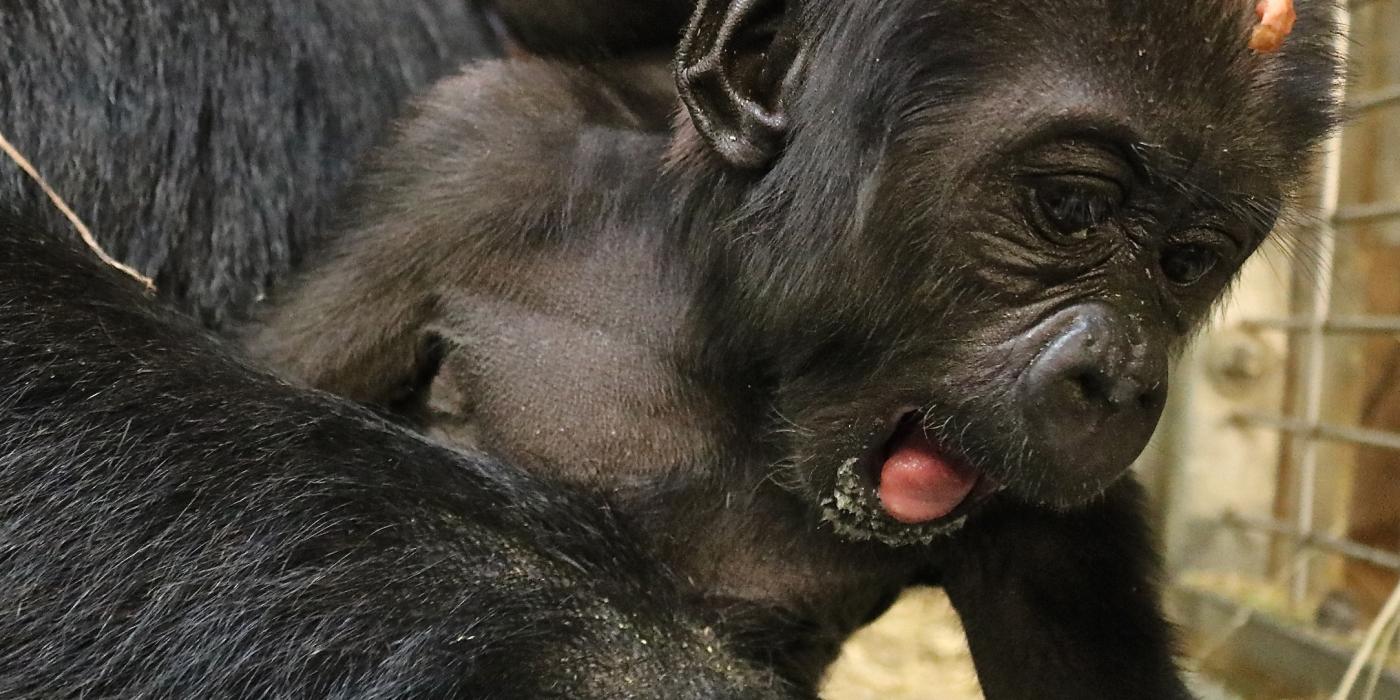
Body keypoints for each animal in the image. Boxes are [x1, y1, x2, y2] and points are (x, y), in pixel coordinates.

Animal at [246, 0, 1338, 694]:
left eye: (1187, 262)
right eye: (1070, 208)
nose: (1117, 376)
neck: (723, 318)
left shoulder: (1066, 533)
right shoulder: (470, 160)